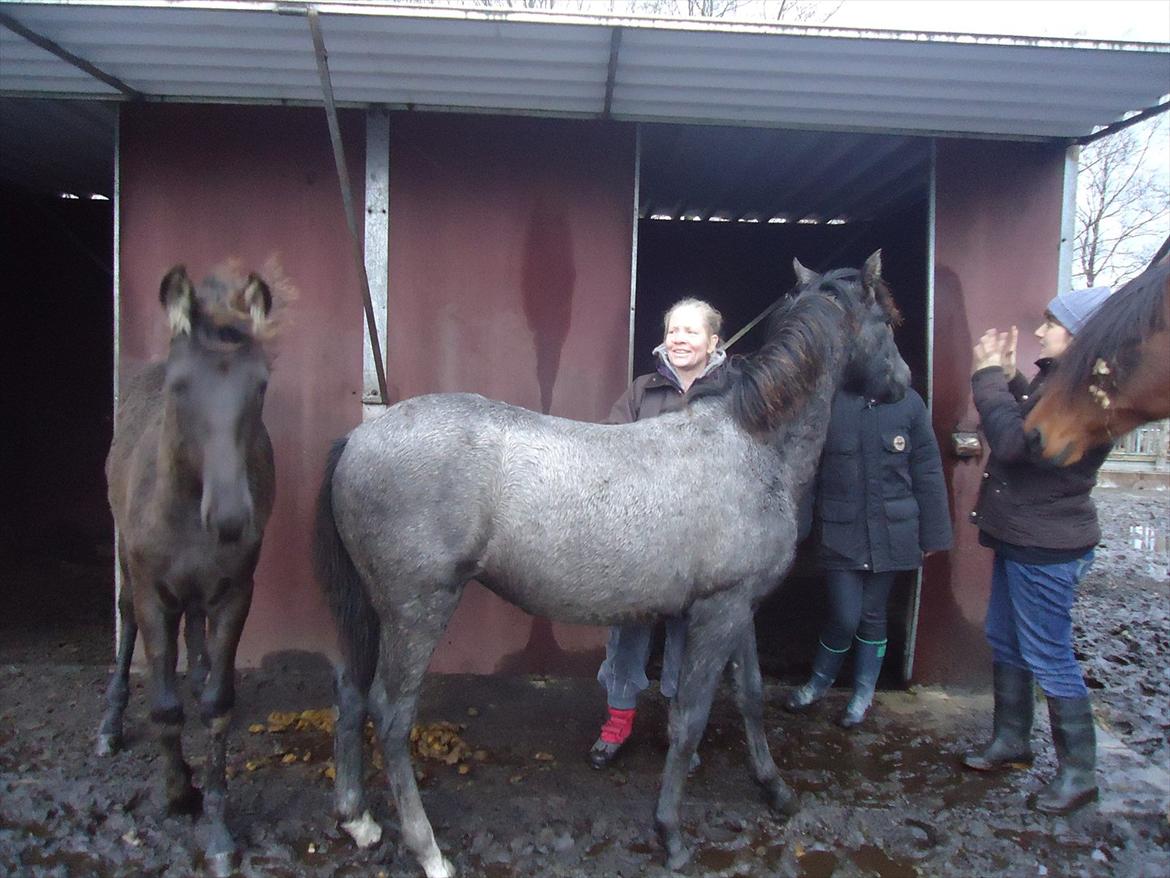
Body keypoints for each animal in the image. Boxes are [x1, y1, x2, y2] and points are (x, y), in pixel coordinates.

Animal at [97, 266, 276, 878]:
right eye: (180, 386)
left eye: (261, 384)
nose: (230, 518)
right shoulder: (153, 591)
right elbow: (165, 705)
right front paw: (177, 793)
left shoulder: (237, 591)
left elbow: (217, 705)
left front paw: (218, 826)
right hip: (126, 561)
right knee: (127, 622)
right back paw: (109, 725)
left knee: (196, 633)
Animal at [315, 250, 907, 875]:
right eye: (888, 322)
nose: (902, 383)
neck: (751, 443)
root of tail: (358, 439)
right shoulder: (717, 613)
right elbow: (690, 716)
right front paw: (671, 833)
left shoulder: (737, 606)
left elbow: (749, 697)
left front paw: (775, 790)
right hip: (417, 610)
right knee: (390, 712)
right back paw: (428, 850)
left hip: (374, 609)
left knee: (350, 690)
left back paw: (357, 819)